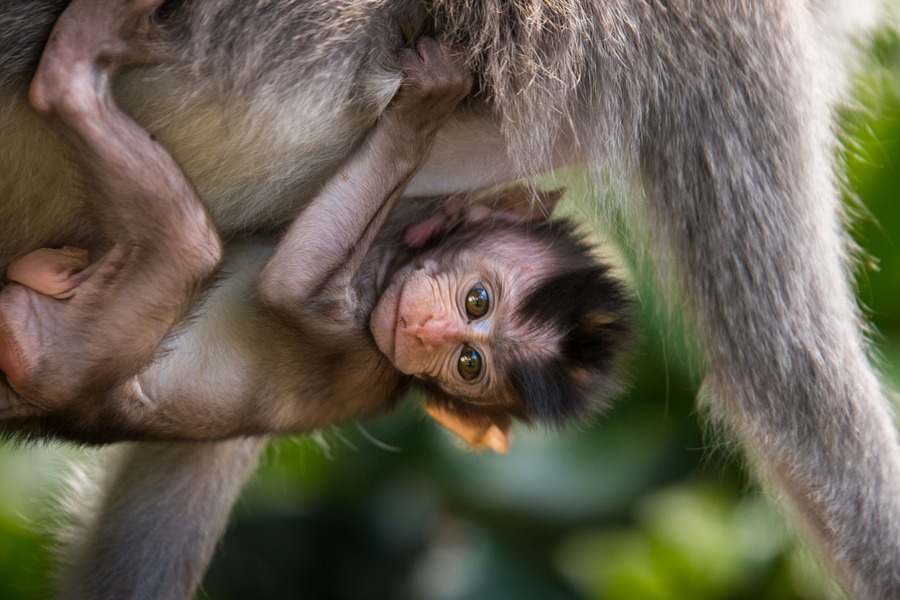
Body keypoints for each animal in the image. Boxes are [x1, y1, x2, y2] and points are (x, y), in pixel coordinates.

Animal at [0, 0, 898, 599]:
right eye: (473, 298)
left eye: (471, 357)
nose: (425, 328)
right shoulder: (732, 35)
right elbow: (793, 395)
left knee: (181, 246)